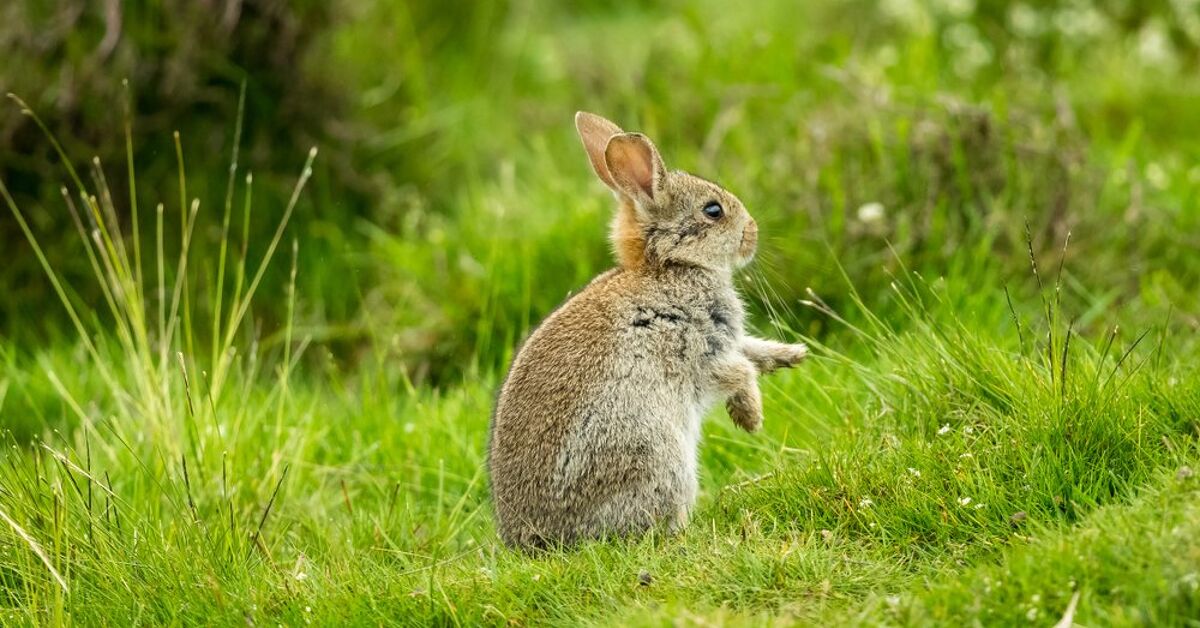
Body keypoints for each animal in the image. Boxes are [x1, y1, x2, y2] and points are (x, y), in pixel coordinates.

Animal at [487, 111, 808, 549]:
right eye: (713, 211)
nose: (752, 235)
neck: (670, 267)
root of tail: (537, 540)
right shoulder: (698, 349)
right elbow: (737, 371)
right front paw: (750, 418)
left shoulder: (727, 342)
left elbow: (750, 351)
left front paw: (792, 355)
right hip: (654, 453)